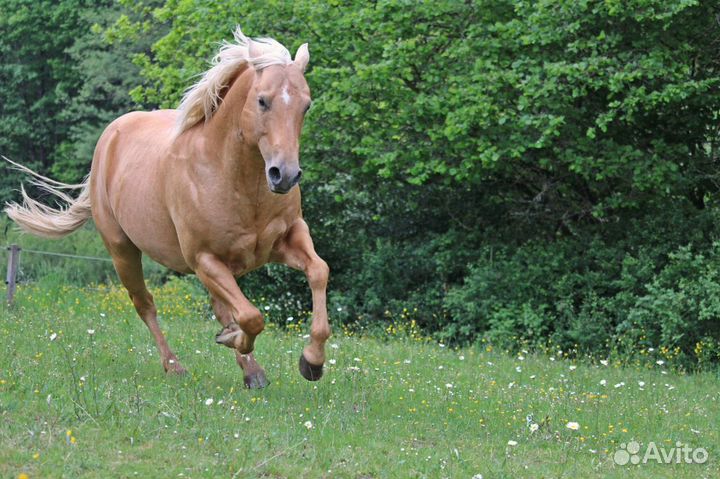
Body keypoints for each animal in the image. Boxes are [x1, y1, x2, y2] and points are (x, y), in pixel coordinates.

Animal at [3, 27, 329, 389]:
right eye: (262, 100)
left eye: (306, 105)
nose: (284, 174)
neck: (234, 177)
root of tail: (109, 138)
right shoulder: (204, 259)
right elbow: (251, 316)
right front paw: (234, 339)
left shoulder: (287, 239)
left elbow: (318, 272)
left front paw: (312, 362)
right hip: (123, 251)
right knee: (145, 304)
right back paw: (176, 366)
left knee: (219, 307)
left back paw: (251, 369)